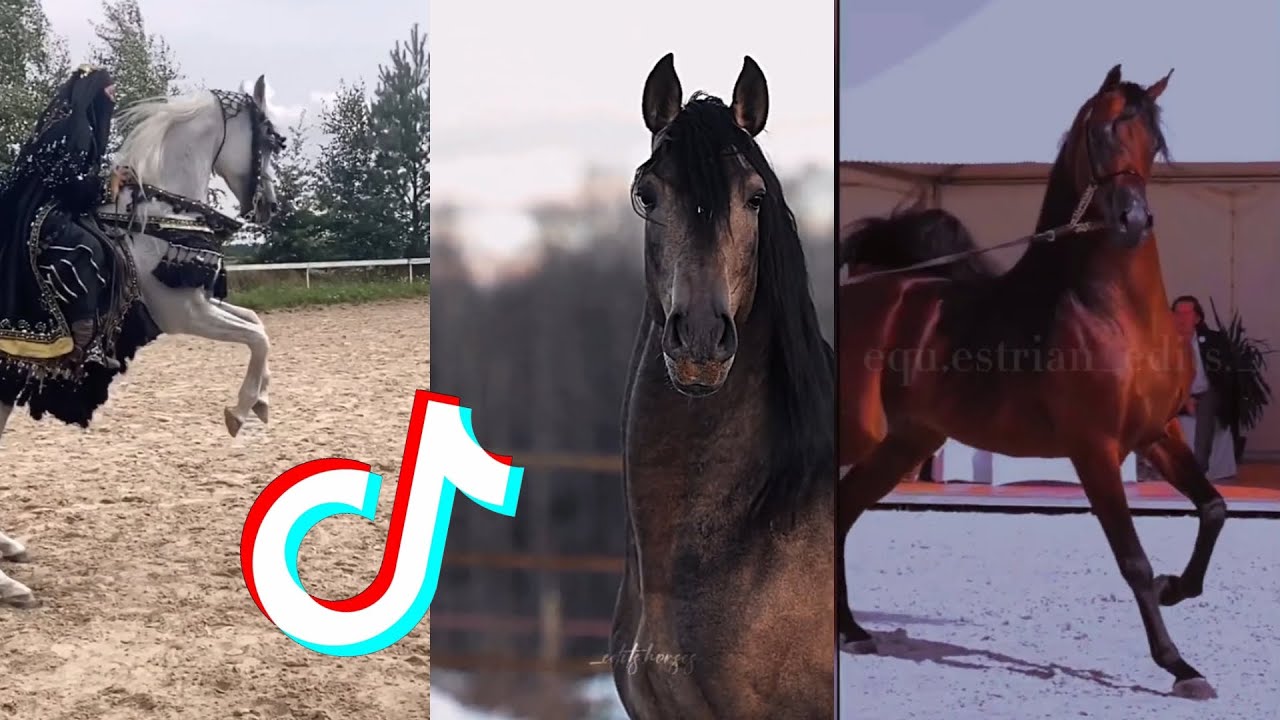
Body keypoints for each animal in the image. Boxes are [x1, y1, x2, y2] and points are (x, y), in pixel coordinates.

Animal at [0, 75, 283, 609]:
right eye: (271, 139)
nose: (270, 207)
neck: (157, 217)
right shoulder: (186, 313)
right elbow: (256, 336)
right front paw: (240, 409)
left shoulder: (198, 303)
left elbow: (258, 325)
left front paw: (261, 398)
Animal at [836, 65, 1225, 700]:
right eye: (1100, 133)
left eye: (1152, 141)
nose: (1132, 220)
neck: (1111, 310)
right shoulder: (1094, 449)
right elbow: (1134, 561)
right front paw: (1179, 665)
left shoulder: (1157, 434)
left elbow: (1213, 508)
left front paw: (1176, 589)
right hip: (859, 435)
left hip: (903, 444)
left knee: (840, 511)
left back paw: (851, 630)